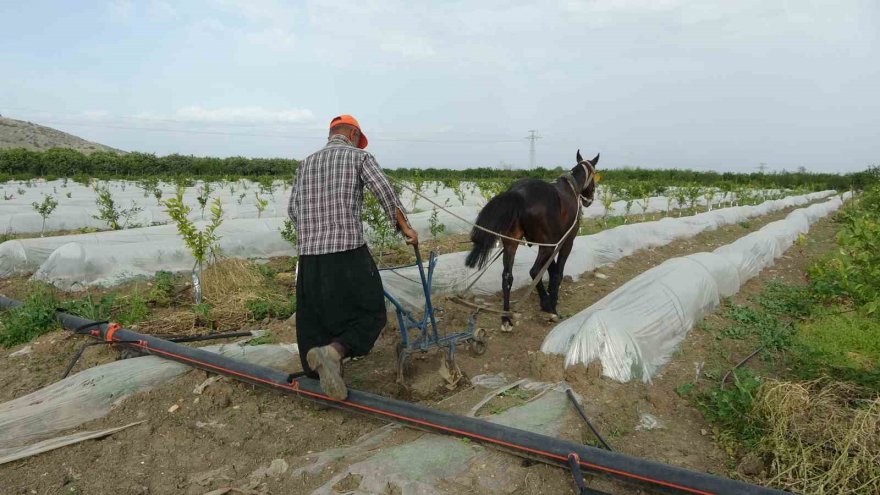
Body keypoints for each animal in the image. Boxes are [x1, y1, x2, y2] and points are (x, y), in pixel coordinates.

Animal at [464, 149, 596, 332]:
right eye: (596, 174)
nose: (590, 198)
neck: (572, 189)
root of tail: (518, 193)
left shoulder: (550, 243)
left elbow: (551, 269)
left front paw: (548, 297)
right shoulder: (565, 241)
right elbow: (557, 272)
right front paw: (551, 301)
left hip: (511, 243)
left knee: (507, 277)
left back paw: (506, 318)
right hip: (545, 245)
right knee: (534, 271)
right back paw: (548, 306)